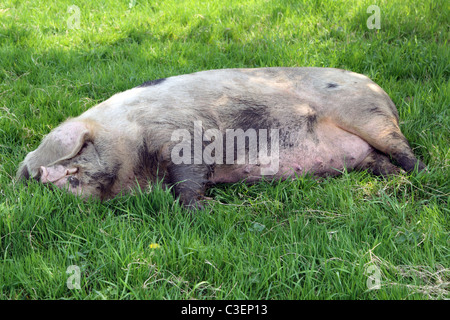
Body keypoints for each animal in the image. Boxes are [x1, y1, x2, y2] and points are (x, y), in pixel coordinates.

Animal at [16, 66, 426, 209]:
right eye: (33, 176)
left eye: (75, 152)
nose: (43, 175)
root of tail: (381, 89)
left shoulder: (181, 134)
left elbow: (188, 180)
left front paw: (203, 212)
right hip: (364, 148)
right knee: (378, 161)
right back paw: (397, 182)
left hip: (369, 116)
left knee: (402, 149)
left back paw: (421, 175)